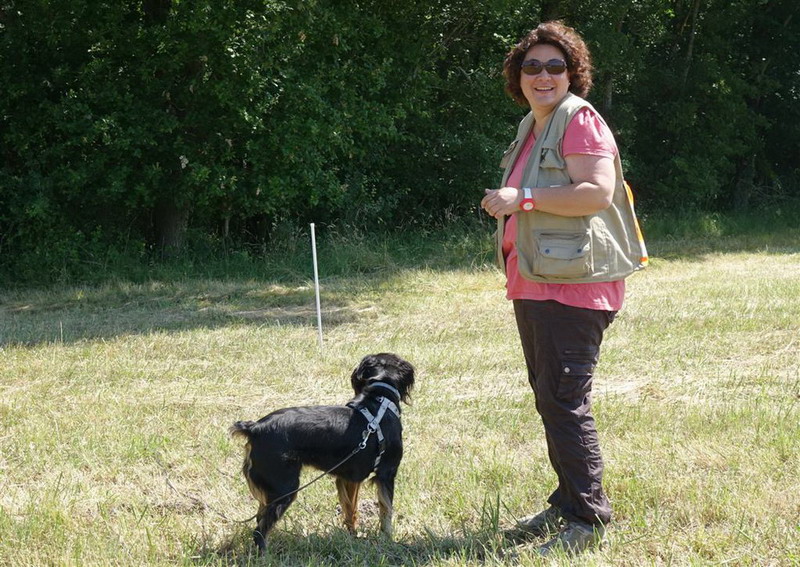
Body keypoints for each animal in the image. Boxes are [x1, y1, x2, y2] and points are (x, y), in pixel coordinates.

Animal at [230, 353, 415, 551]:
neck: (379, 401)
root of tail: (255, 428)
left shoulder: (349, 478)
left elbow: (350, 510)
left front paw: (352, 537)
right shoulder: (386, 474)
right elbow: (386, 512)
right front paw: (388, 541)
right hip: (284, 489)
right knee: (259, 531)